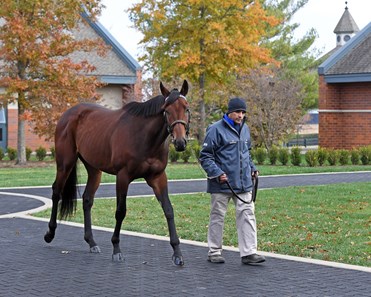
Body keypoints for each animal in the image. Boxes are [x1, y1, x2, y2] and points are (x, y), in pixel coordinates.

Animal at [45, 80, 192, 264]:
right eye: (166, 110)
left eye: (186, 108)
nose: (180, 142)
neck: (144, 137)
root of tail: (67, 114)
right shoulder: (123, 177)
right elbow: (120, 211)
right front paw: (116, 248)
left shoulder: (158, 178)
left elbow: (168, 210)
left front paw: (177, 253)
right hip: (65, 163)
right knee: (56, 192)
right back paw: (50, 233)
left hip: (94, 168)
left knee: (87, 199)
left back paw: (91, 242)